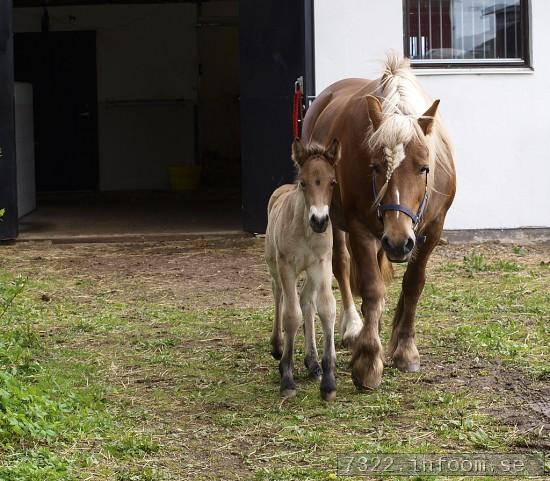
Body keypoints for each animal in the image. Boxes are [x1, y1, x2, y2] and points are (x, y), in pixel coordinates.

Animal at [302, 53, 458, 390]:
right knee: (342, 266)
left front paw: (405, 349)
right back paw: (353, 327)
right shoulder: (360, 229)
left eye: (425, 168)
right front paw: (369, 361)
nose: (398, 242)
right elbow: (372, 289)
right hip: (335, 222)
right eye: (374, 166)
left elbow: (414, 284)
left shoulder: (432, 230)